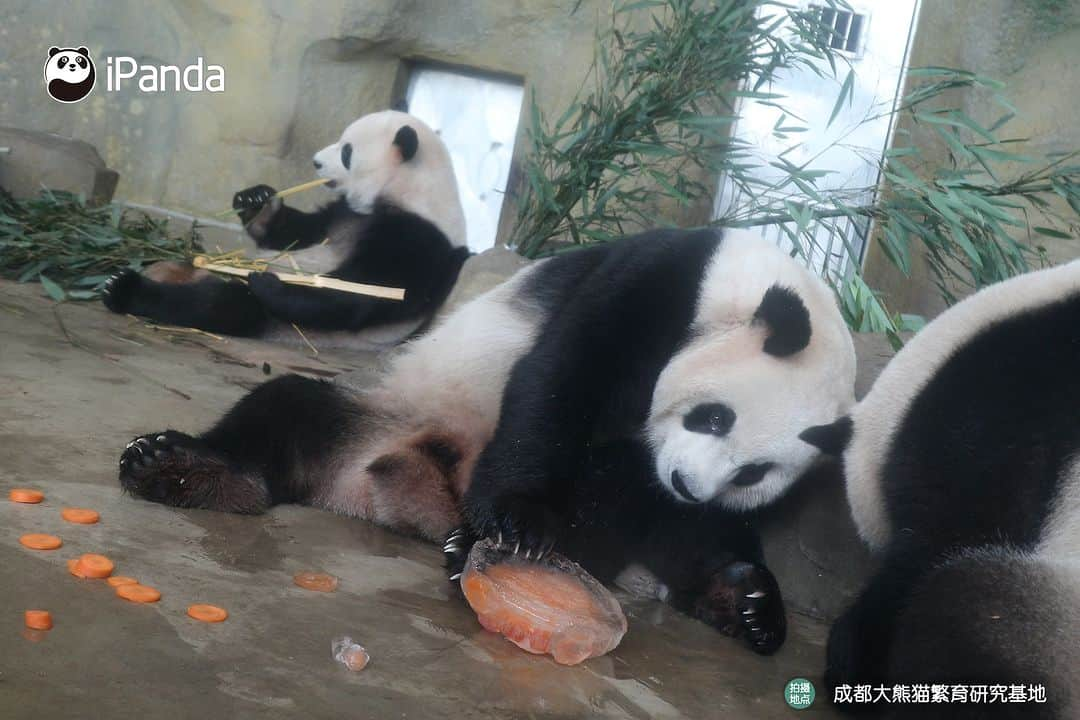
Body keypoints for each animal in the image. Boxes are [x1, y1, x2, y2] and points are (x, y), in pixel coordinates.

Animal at [103, 108, 470, 349]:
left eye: (347, 151)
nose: (316, 161)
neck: (409, 192)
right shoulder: (343, 213)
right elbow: (296, 233)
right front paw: (256, 201)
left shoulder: (418, 238)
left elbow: (363, 292)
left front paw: (268, 282)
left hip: (273, 321)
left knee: (222, 304)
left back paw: (124, 288)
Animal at [113, 227, 855, 656]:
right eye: (715, 418)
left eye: (754, 471)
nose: (688, 483)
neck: (752, 283)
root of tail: (404, 495)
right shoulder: (658, 282)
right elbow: (561, 378)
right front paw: (521, 526)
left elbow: (684, 515)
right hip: (387, 412)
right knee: (287, 409)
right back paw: (184, 468)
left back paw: (743, 602)